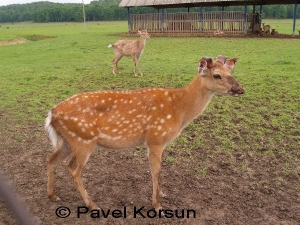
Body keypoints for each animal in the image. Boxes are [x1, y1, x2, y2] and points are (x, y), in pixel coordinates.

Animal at [45, 55, 245, 212]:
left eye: (230, 73)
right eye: (217, 75)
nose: (240, 89)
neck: (179, 110)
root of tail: (52, 113)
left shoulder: (157, 142)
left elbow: (158, 170)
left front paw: (162, 193)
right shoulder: (155, 138)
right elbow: (156, 170)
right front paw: (157, 205)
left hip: (68, 140)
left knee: (51, 160)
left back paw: (53, 195)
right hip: (83, 140)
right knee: (73, 169)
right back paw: (92, 204)